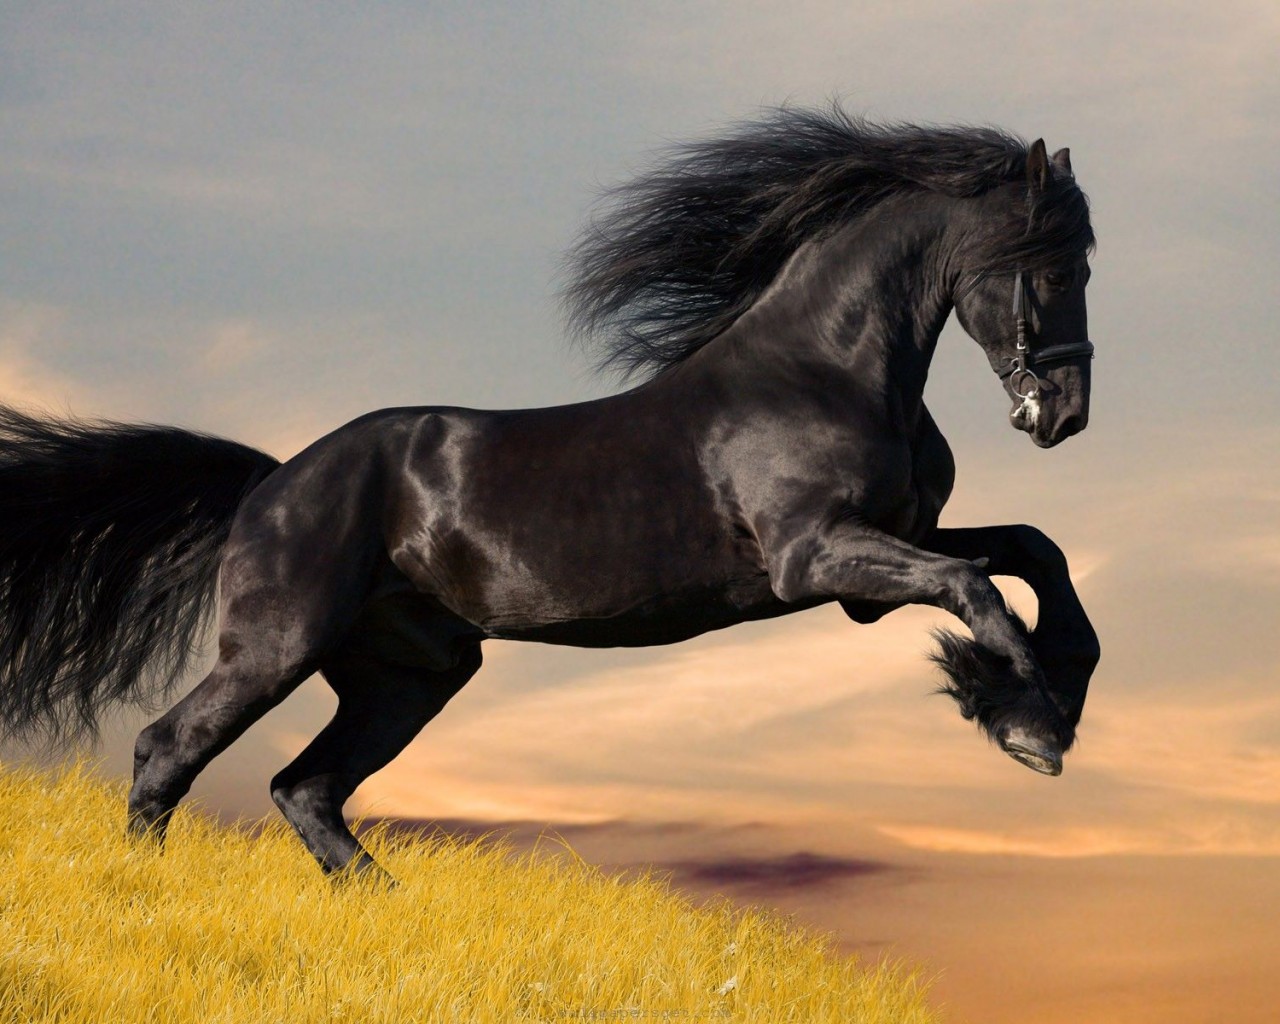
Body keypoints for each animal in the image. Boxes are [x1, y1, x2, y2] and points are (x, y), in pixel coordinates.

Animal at [0, 106, 1100, 879]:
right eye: (1050, 269)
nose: (1064, 413)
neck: (822, 369)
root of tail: (272, 482)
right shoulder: (815, 557)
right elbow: (976, 585)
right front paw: (1027, 723)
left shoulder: (878, 560)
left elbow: (1031, 551)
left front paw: (1045, 701)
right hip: (277, 645)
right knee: (168, 748)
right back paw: (143, 887)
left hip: (410, 673)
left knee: (303, 786)